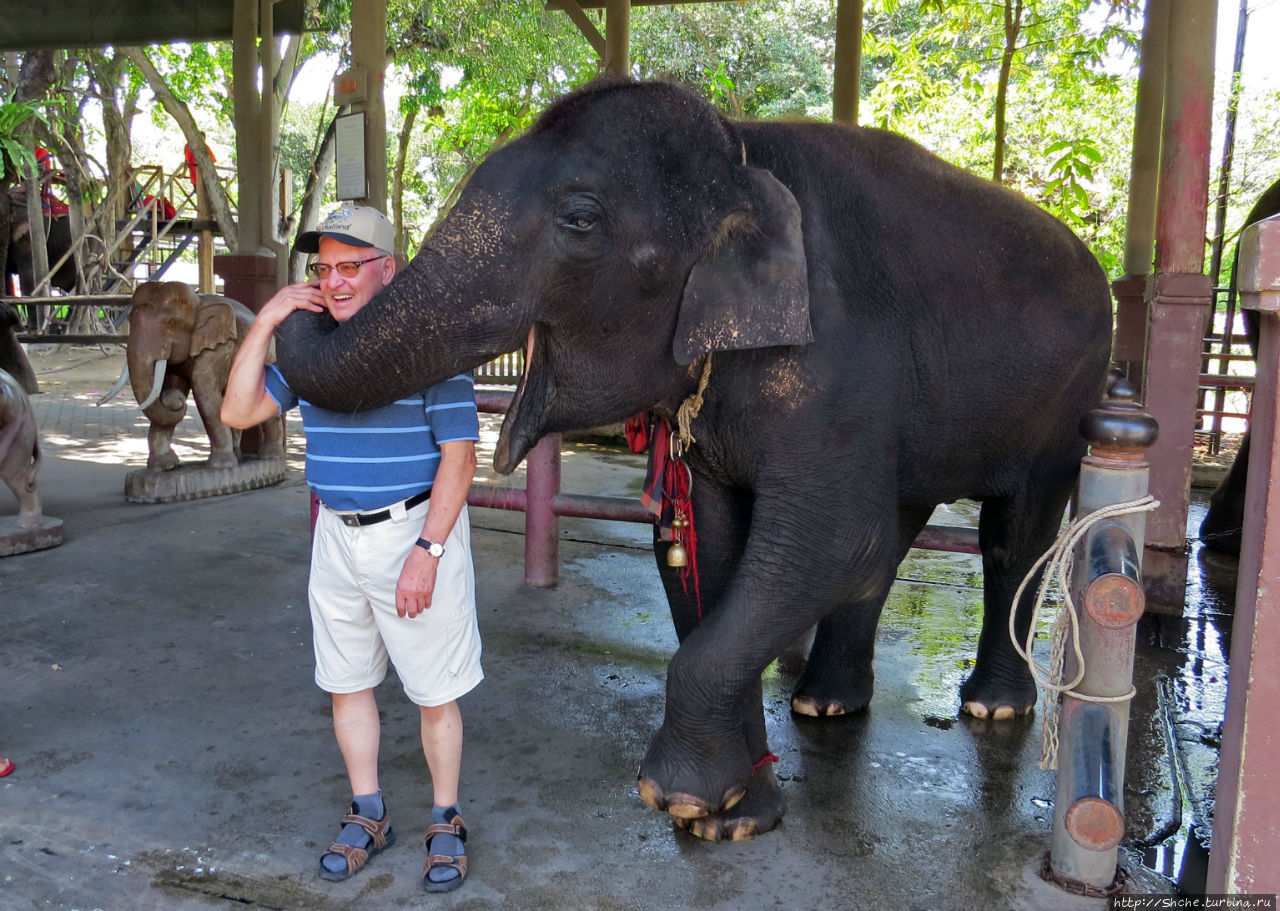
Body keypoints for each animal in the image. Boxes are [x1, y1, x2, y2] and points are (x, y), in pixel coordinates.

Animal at [103, 282, 288, 470]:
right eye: (130, 320)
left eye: (171, 322)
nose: (177, 401)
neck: (199, 302)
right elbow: (173, 385)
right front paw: (164, 465)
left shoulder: (220, 347)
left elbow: (204, 392)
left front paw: (221, 465)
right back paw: (239, 455)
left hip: (268, 357)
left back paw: (271, 457)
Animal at [275, 78, 1116, 839]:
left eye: (580, 220)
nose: (312, 286)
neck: (742, 150)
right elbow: (713, 549)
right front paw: (731, 816)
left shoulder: (839, 359)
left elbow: (832, 539)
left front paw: (681, 798)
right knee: (895, 535)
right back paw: (826, 703)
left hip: (1071, 395)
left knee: (1010, 534)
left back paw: (990, 705)